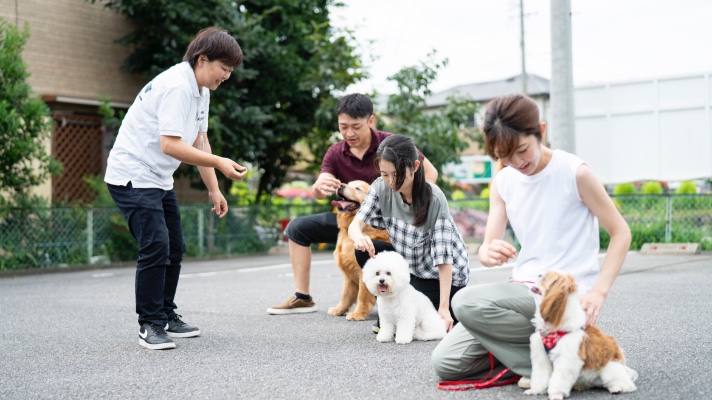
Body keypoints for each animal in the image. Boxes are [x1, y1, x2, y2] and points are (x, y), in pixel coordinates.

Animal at [326, 180, 390, 320]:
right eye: (347, 184)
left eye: (358, 188)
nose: (340, 185)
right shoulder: (348, 275)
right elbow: (345, 295)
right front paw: (339, 309)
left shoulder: (364, 272)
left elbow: (362, 295)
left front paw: (358, 313)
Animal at [524, 270, 640, 398]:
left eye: (544, 278)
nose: (538, 274)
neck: (553, 331)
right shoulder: (541, 356)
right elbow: (540, 376)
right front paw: (536, 390)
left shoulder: (567, 359)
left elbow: (559, 379)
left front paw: (556, 394)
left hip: (610, 368)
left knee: (623, 384)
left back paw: (617, 388)